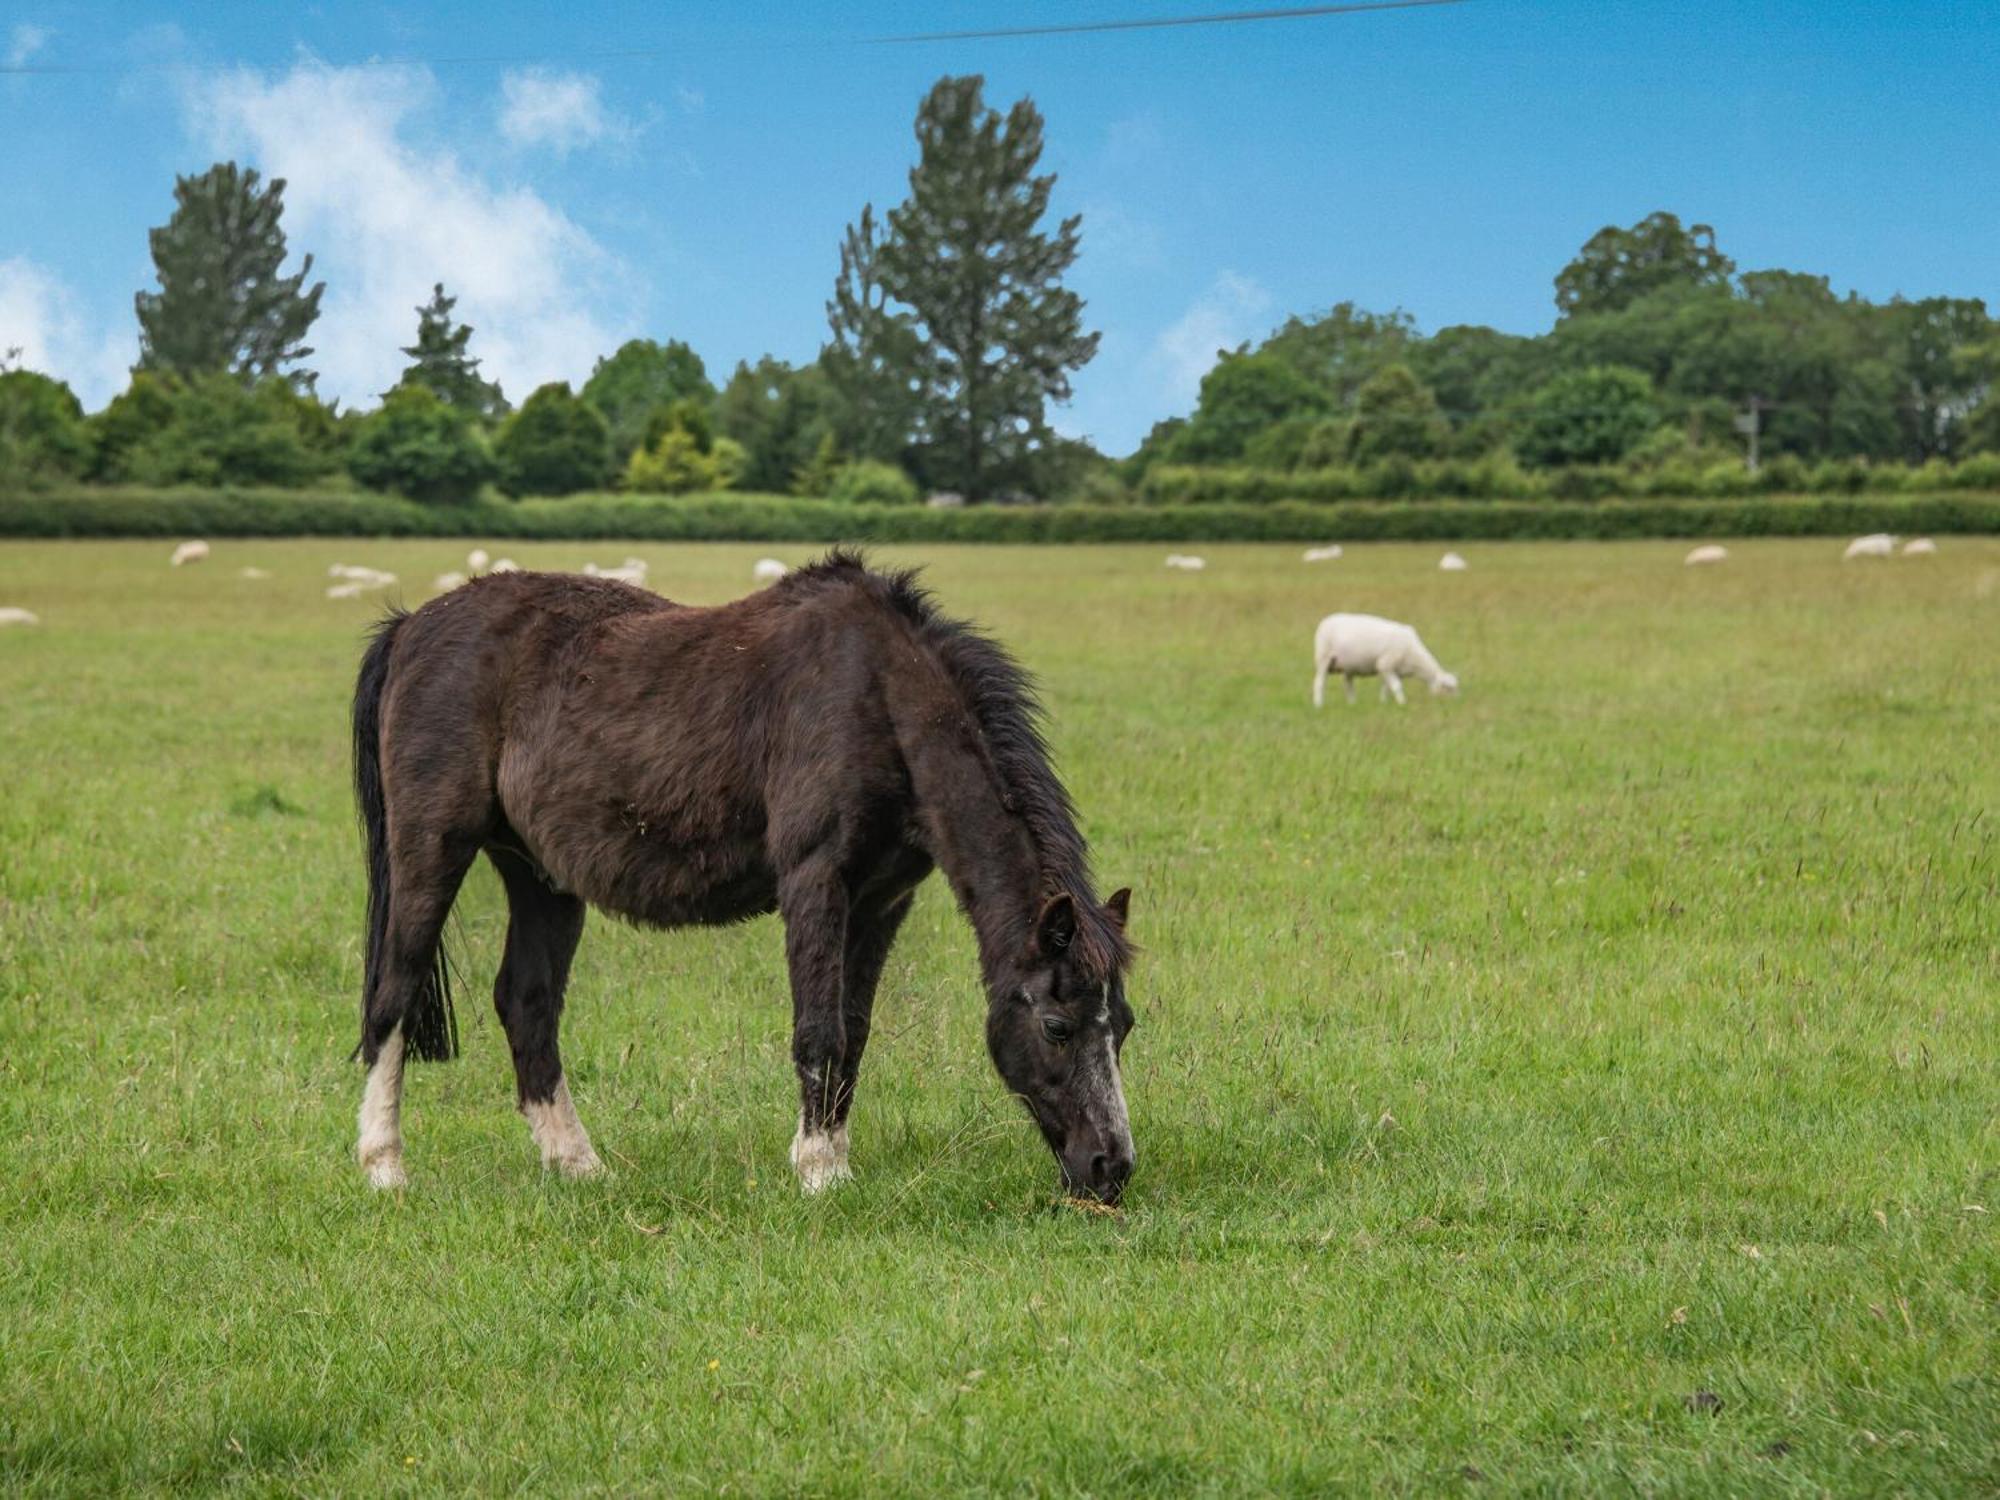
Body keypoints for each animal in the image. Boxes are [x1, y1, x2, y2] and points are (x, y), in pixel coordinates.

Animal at [352, 548, 1136, 1200]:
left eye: (1122, 1026)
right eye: (1058, 1026)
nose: (1111, 1168)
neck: (879, 697)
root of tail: (411, 626)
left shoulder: (882, 901)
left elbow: (853, 1029)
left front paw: (834, 1158)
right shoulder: (816, 881)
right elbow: (819, 1029)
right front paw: (819, 1174)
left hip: (539, 877)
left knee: (528, 1004)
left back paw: (578, 1164)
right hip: (433, 847)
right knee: (395, 991)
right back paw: (385, 1166)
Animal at [1304, 612, 1464, 712]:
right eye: (1449, 688)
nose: (1457, 704)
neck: (1415, 658)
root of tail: (1326, 619)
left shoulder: (1392, 670)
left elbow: (1386, 688)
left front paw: (1384, 704)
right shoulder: (1385, 664)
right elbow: (1397, 687)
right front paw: (1403, 704)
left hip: (1348, 665)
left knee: (1348, 685)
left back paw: (1352, 704)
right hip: (1323, 658)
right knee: (1319, 683)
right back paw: (1318, 705)